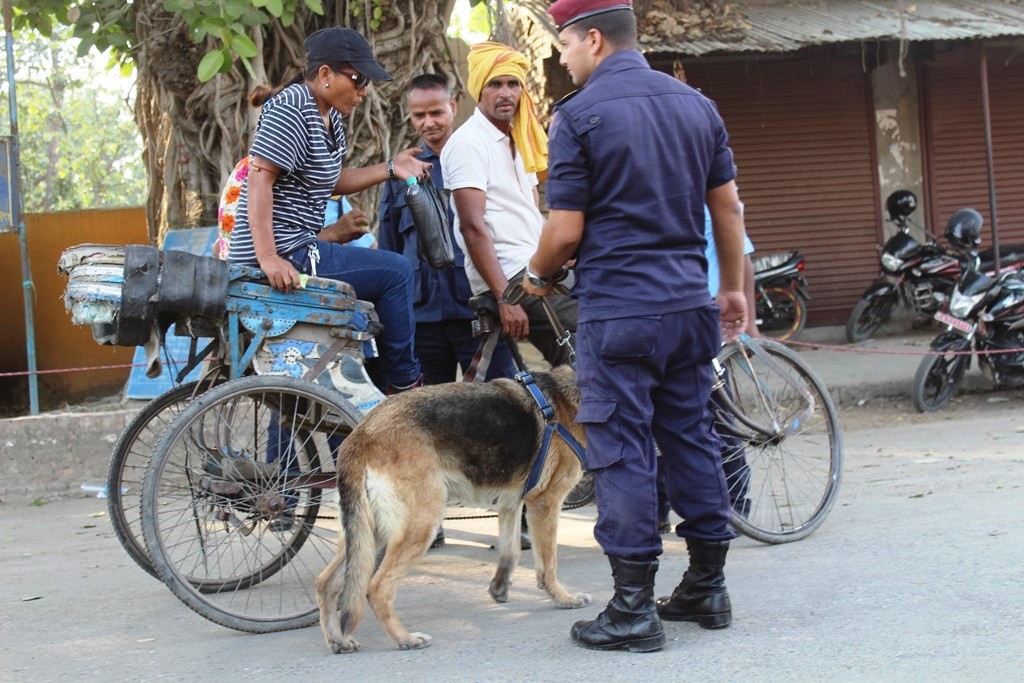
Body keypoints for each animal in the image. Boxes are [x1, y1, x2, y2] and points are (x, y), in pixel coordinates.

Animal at [317, 366, 593, 655]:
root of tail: (361, 433)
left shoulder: (511, 505)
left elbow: (511, 551)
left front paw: (500, 587)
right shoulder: (545, 503)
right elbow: (549, 562)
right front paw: (563, 598)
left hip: (369, 534)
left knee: (327, 583)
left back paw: (338, 639)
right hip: (420, 524)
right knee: (377, 588)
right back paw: (405, 638)